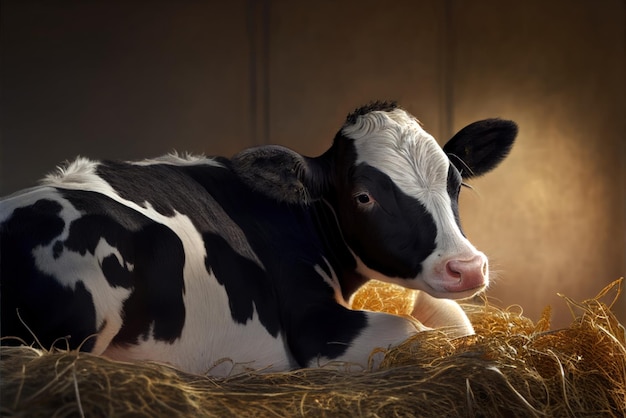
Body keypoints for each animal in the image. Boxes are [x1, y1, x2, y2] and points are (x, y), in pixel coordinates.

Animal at [0, 102, 516, 376]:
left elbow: (456, 322)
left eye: (456, 182)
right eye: (364, 196)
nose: (467, 267)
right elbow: (422, 334)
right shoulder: (315, 328)